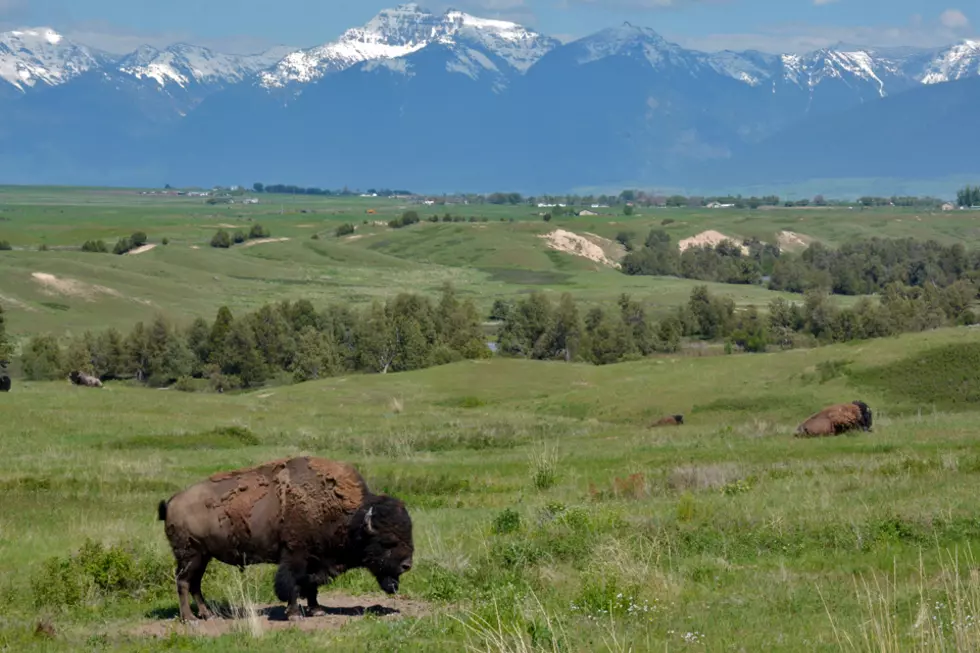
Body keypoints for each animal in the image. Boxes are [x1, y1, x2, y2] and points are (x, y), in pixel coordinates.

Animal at [156, 454, 414, 620]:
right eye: (387, 542)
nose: (407, 565)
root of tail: (172, 501)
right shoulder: (295, 556)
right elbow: (292, 584)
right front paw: (293, 614)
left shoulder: (315, 560)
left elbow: (311, 586)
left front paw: (317, 610)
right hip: (190, 556)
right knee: (183, 582)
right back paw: (189, 618)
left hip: (203, 557)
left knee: (195, 584)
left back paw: (206, 614)